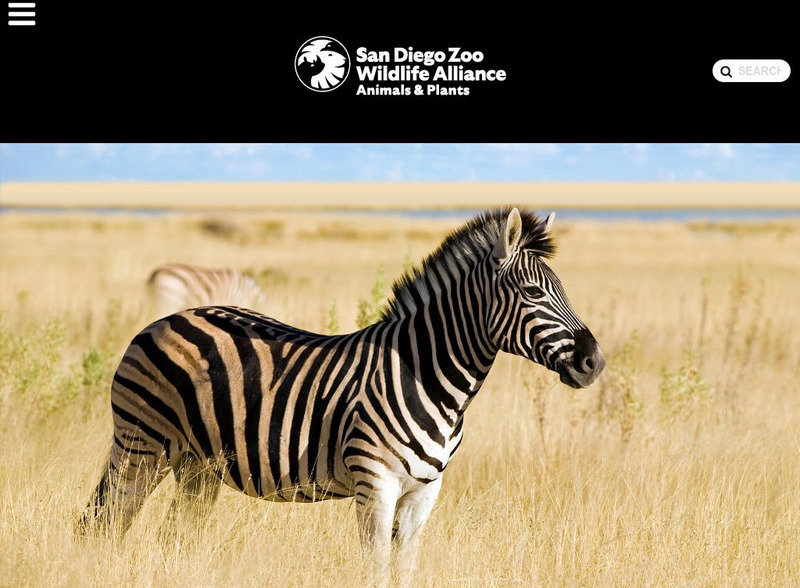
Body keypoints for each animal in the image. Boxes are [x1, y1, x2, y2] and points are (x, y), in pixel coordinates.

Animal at [80, 207, 605, 581]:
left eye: (562, 289)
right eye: (534, 294)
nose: (594, 362)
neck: (427, 376)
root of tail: (166, 318)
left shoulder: (423, 495)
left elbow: (404, 572)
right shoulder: (376, 486)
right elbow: (375, 572)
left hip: (197, 464)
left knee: (173, 535)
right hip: (142, 443)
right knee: (103, 522)